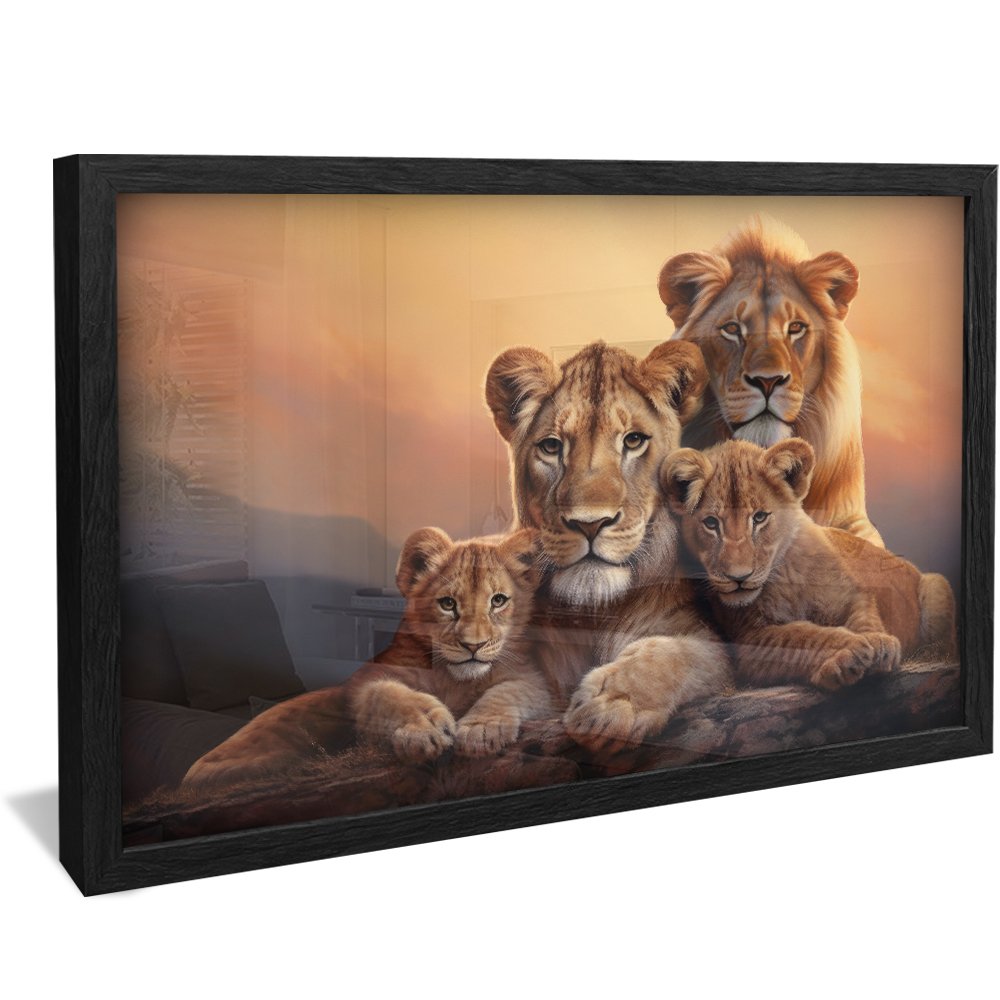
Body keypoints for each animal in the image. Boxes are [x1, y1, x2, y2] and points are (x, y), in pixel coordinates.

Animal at [182, 528, 549, 787]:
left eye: (498, 600)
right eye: (447, 604)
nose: (474, 645)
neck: (453, 678)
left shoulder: (534, 679)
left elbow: (509, 691)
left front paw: (481, 730)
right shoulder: (367, 676)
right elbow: (386, 694)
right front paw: (424, 727)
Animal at [485, 339, 731, 752]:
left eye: (633, 441)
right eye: (551, 447)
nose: (590, 523)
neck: (595, 615)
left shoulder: (711, 644)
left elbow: (676, 653)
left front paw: (612, 705)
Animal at [661, 438, 956, 692]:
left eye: (760, 517)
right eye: (711, 523)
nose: (739, 578)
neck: (784, 576)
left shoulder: (853, 596)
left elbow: (865, 619)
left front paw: (880, 643)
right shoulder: (748, 640)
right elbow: (805, 635)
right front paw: (851, 653)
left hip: (937, 585)